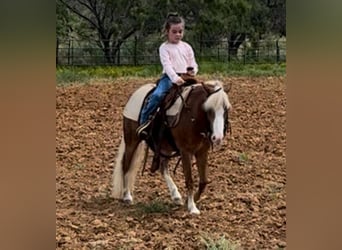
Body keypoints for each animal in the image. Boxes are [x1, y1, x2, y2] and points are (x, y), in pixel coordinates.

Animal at [112, 79, 232, 214]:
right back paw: (127, 196)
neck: (193, 116)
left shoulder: (202, 151)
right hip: (131, 141)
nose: (218, 137)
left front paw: (190, 201)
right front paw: (192, 207)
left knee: (163, 168)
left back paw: (176, 196)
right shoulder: (185, 152)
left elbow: (203, 181)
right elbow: (189, 180)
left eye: (226, 109)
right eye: (209, 109)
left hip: (165, 147)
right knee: (126, 165)